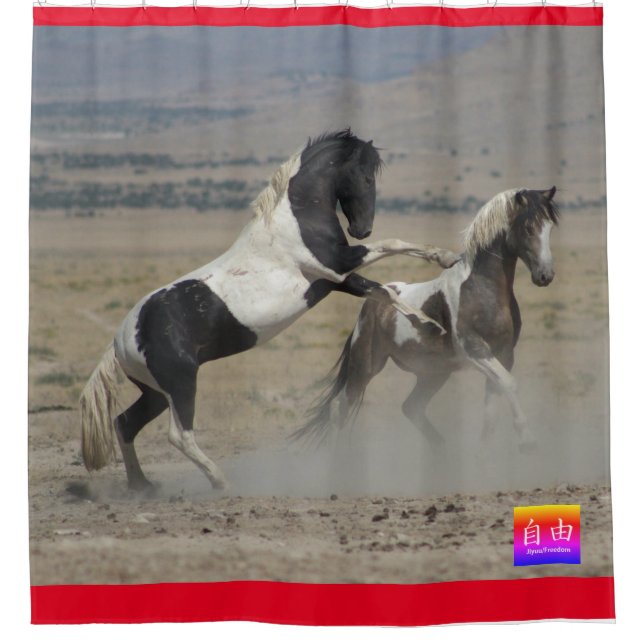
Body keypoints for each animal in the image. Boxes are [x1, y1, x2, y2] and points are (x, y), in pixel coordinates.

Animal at [79, 130, 459, 491]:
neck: (294, 220)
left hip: (157, 393)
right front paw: (443, 271)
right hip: (181, 383)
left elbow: (381, 290)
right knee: (178, 435)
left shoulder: (335, 280)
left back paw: (142, 485)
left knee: (125, 423)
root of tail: (121, 341)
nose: (362, 229)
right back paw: (220, 481)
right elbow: (391, 247)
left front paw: (431, 313)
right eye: (366, 177)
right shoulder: (339, 264)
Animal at [292, 187, 559, 453]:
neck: (482, 290)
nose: (545, 276)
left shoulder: (504, 353)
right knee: (340, 408)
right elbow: (510, 384)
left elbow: (493, 406)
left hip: (434, 373)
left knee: (412, 407)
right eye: (528, 227)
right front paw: (527, 440)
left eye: (549, 226)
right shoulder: (475, 350)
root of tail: (371, 303)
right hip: (366, 366)